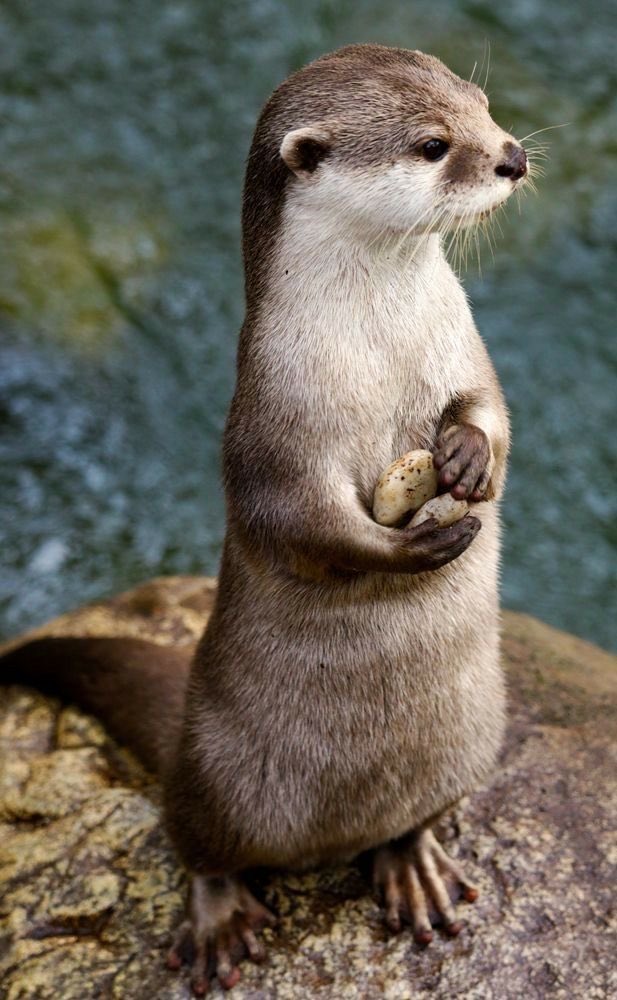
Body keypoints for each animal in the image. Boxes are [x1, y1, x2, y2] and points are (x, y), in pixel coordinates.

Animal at [2, 44, 527, 995]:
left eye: (481, 104)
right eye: (434, 145)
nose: (511, 155)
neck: (378, 346)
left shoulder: (465, 349)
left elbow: (492, 411)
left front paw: (469, 455)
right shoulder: (271, 425)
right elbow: (304, 526)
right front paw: (416, 542)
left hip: (473, 741)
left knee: (408, 819)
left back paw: (413, 863)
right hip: (214, 777)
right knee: (196, 843)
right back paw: (217, 922)